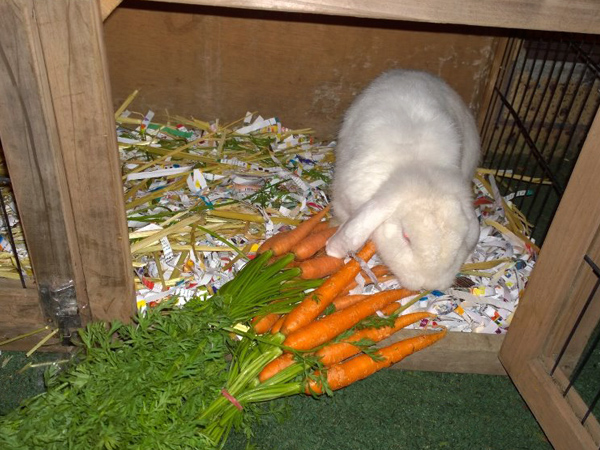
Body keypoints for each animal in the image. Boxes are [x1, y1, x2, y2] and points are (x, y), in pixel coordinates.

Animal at [326, 68, 480, 290]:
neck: (420, 169)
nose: (427, 286)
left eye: (459, 246)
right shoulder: (343, 199)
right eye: (406, 237)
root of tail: (411, 72)